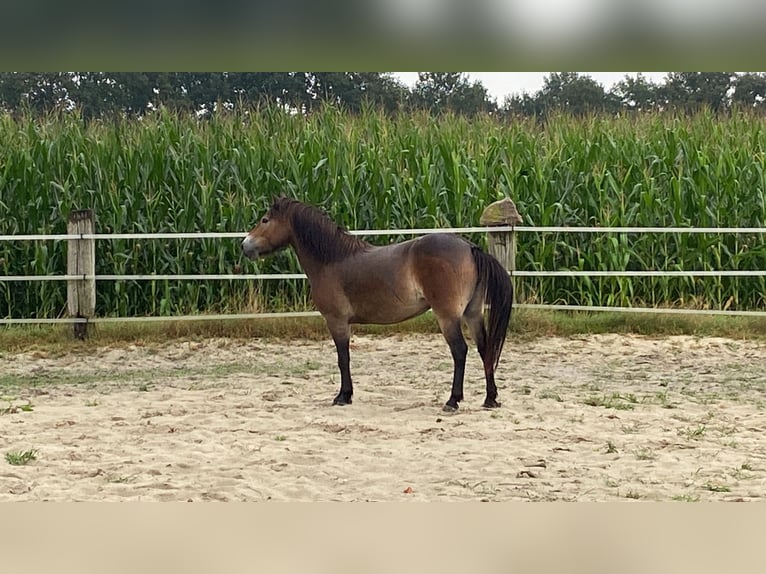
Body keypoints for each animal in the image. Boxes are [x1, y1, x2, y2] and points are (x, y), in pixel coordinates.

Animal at [243, 199, 512, 414]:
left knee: (460, 351)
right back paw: (490, 399)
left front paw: (343, 396)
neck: (332, 259)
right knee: (485, 350)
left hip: (448, 316)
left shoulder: (336, 321)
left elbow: (343, 358)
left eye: (265, 220)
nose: (244, 245)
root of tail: (470, 247)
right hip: (473, 313)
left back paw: (452, 401)